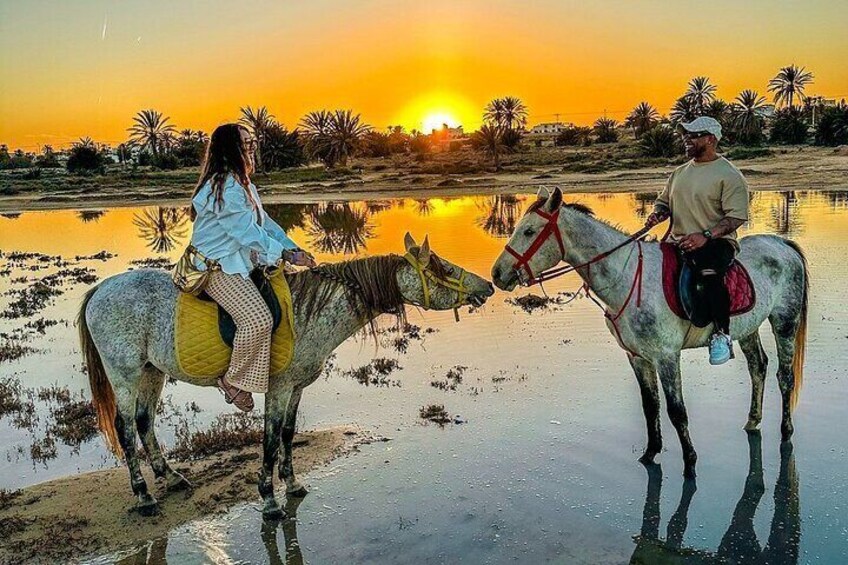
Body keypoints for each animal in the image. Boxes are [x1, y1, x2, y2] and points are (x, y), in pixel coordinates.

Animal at [79, 234, 494, 516]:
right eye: (444, 269)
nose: (488, 286)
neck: (308, 311)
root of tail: (101, 289)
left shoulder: (296, 387)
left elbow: (289, 434)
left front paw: (292, 484)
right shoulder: (277, 388)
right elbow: (269, 438)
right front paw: (268, 498)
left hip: (152, 371)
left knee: (144, 421)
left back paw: (171, 477)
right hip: (126, 373)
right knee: (126, 427)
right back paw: (144, 495)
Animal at [490, 188, 808, 476]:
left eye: (529, 231)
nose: (497, 274)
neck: (627, 277)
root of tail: (782, 243)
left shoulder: (666, 357)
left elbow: (676, 411)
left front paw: (690, 462)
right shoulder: (637, 357)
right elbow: (650, 406)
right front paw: (650, 453)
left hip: (784, 322)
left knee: (784, 377)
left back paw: (786, 431)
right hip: (747, 327)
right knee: (758, 367)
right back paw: (753, 420)